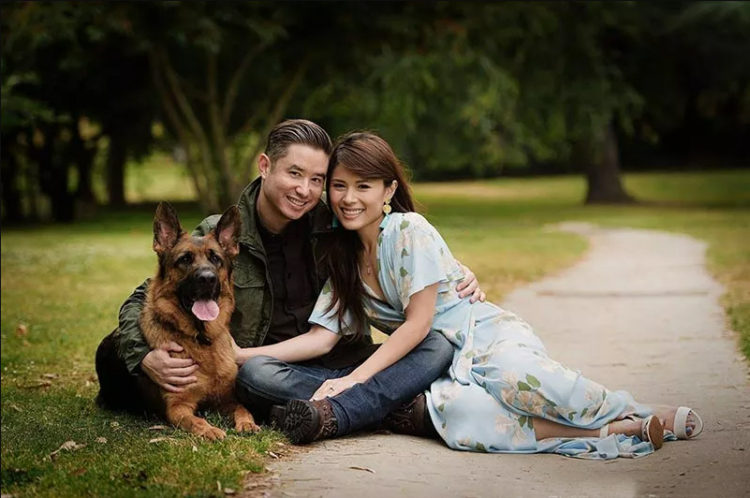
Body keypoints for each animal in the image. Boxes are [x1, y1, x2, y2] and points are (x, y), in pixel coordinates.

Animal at [140, 202, 260, 440]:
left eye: (215, 259)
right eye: (185, 259)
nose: (207, 279)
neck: (201, 338)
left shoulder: (227, 399)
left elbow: (244, 408)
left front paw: (247, 423)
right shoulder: (177, 407)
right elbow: (196, 420)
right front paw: (210, 430)